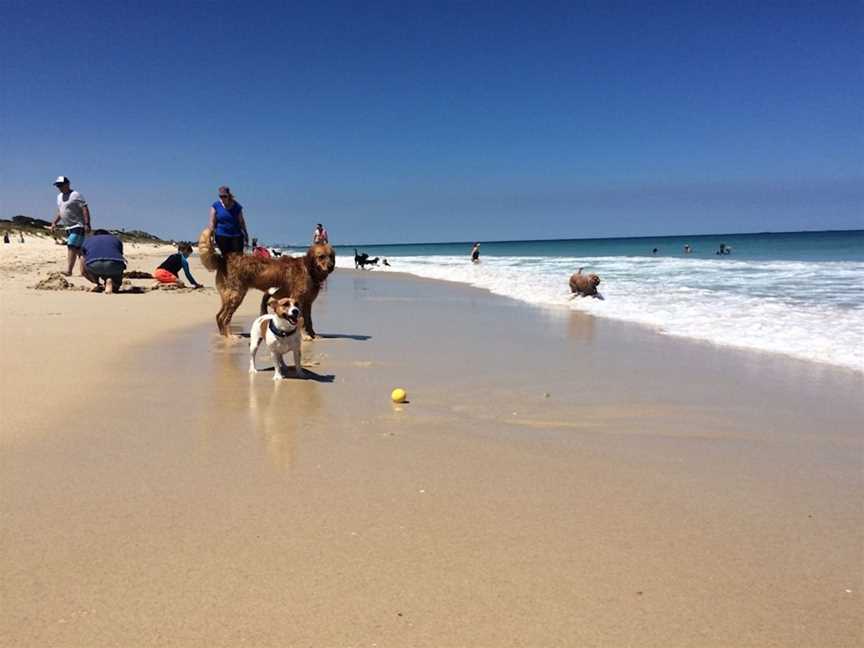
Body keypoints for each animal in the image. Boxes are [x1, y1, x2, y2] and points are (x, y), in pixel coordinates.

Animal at [199, 229, 338, 340]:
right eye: (321, 256)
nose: (331, 267)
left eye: (331, 256)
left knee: (218, 316)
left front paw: (313, 335)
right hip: (236, 296)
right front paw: (305, 336)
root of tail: (224, 258)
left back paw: (222, 335)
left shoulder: (308, 303)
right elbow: (302, 320)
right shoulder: (298, 300)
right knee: (224, 317)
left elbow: (309, 321)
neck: (309, 269)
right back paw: (229, 335)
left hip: (228, 297)